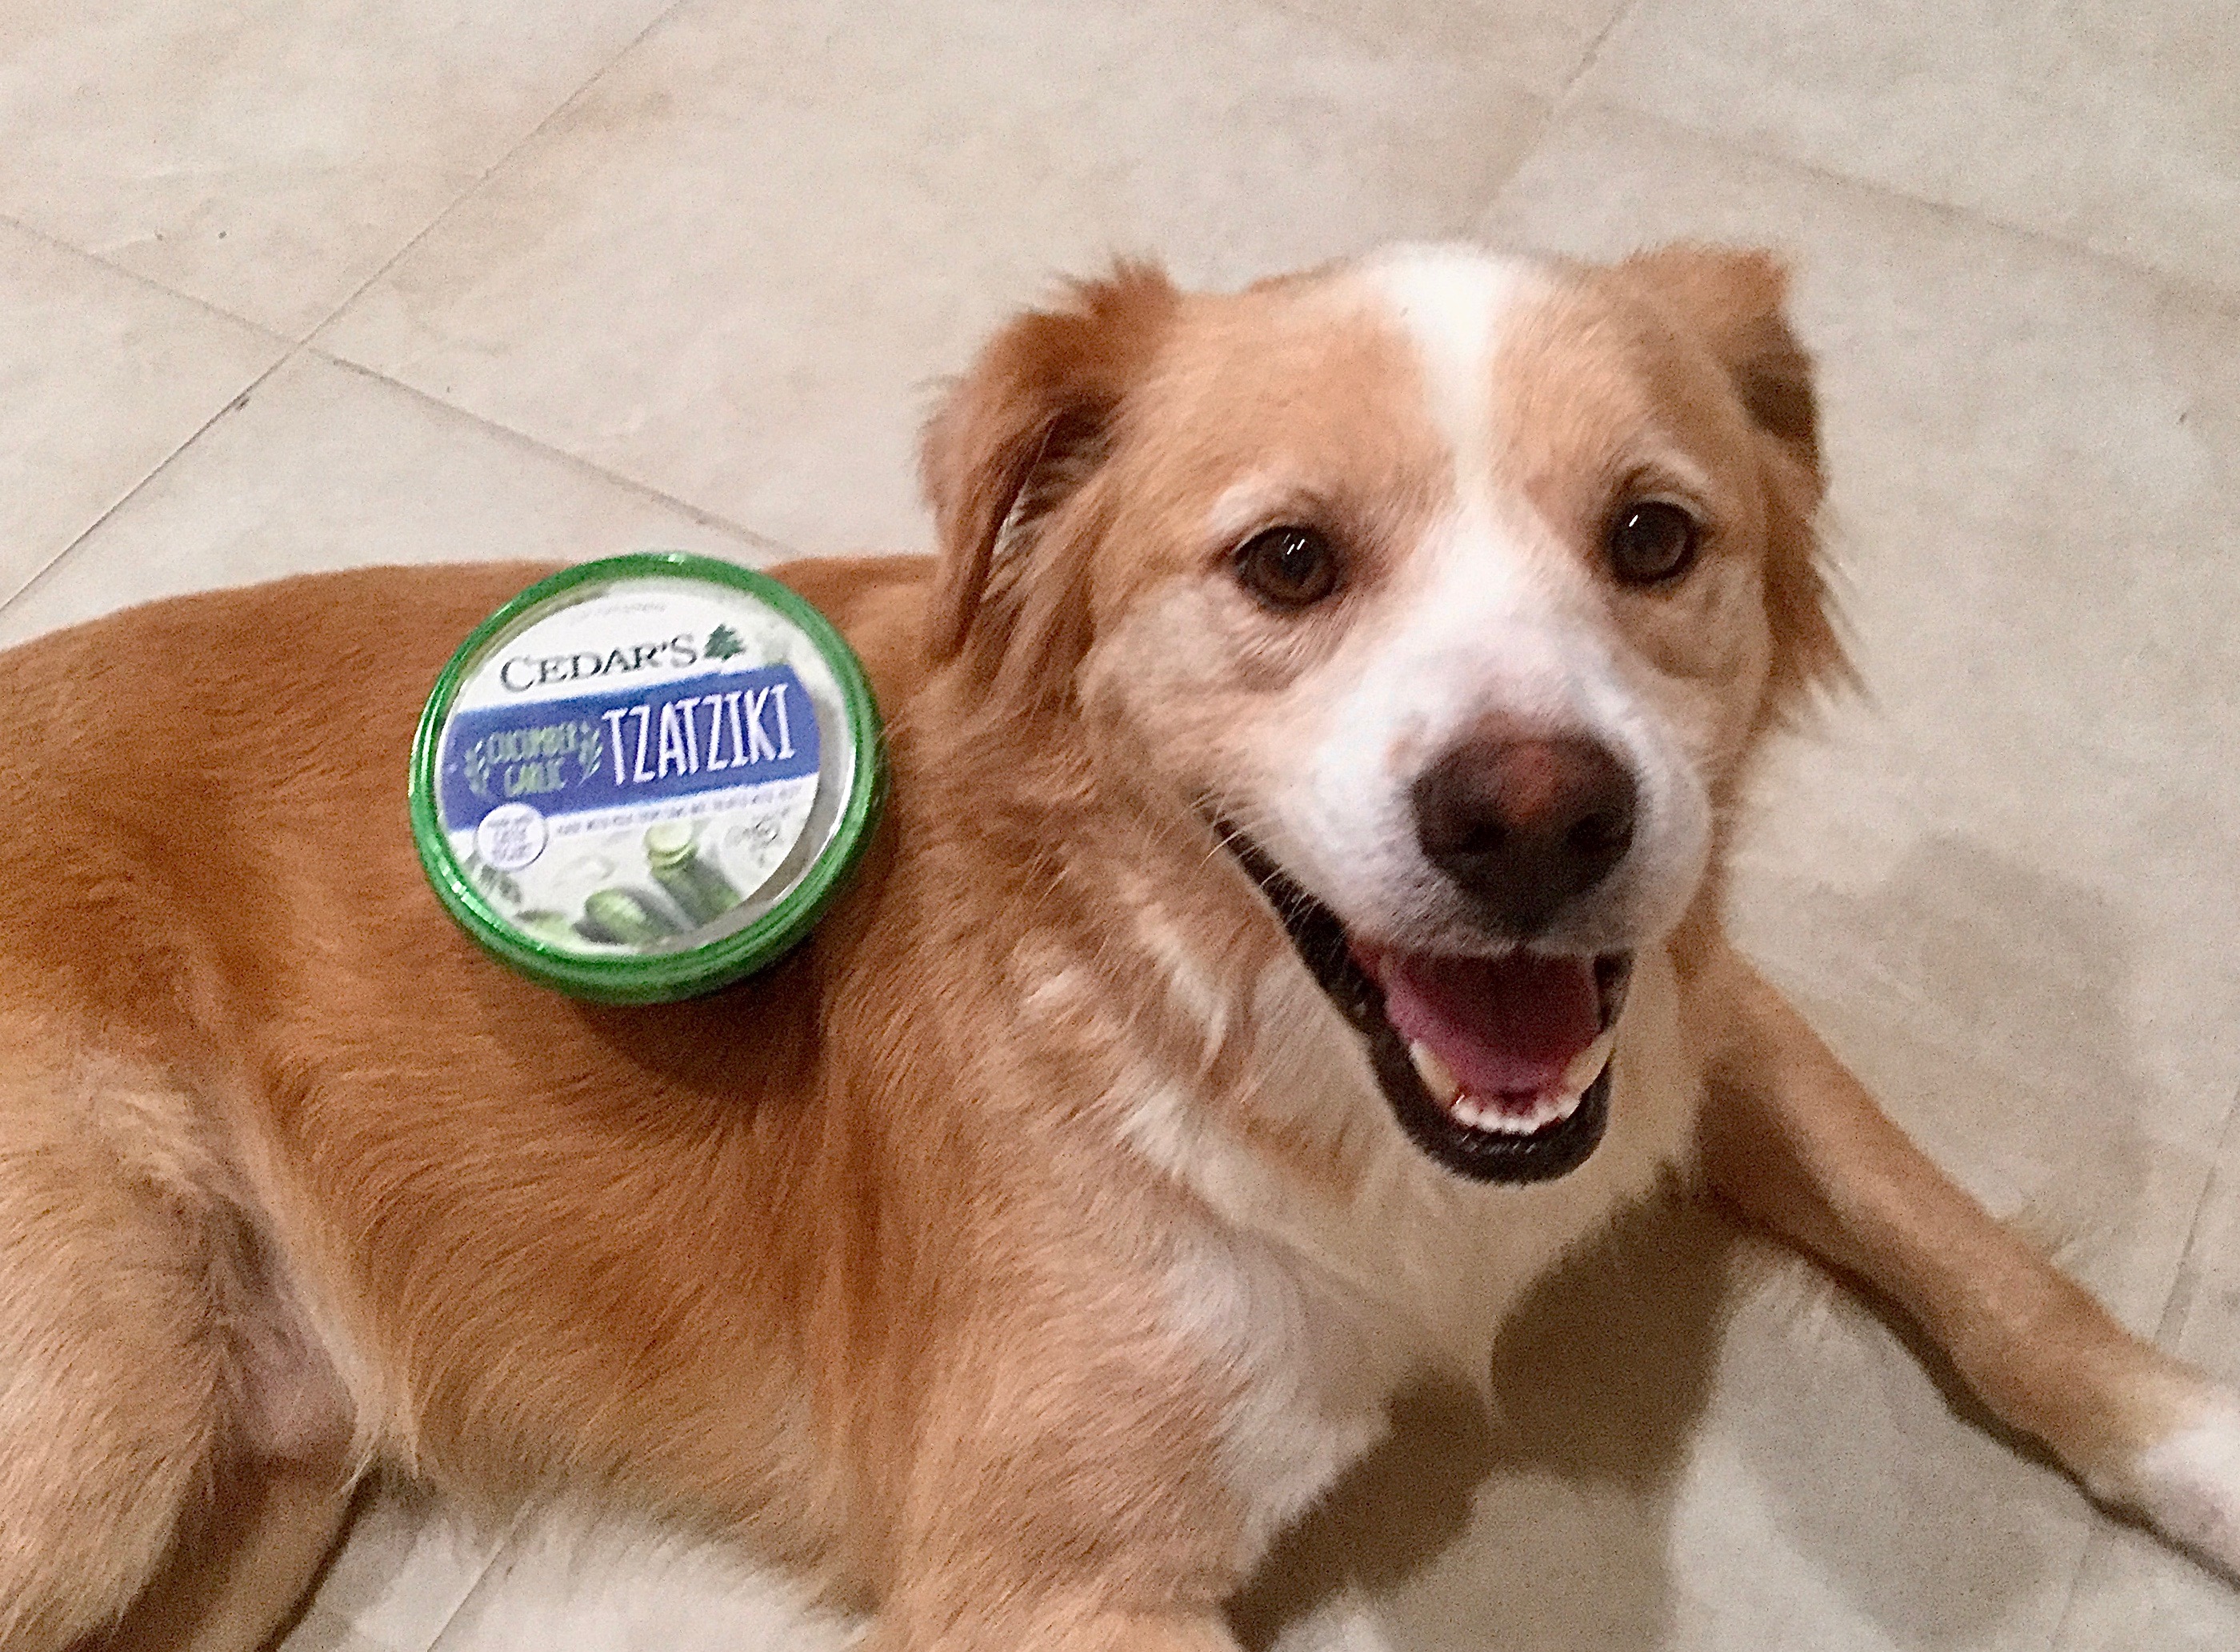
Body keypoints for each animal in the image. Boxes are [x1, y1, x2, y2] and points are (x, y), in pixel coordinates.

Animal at [4, 243, 2240, 1647]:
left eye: (1653, 539)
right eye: (1288, 563)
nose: (1539, 822)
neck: (1223, 1017)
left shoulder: (1681, 993)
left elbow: (1954, 1238)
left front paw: (2198, 1447)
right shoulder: (1039, 1578)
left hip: (254, 1480)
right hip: (103, 1427)